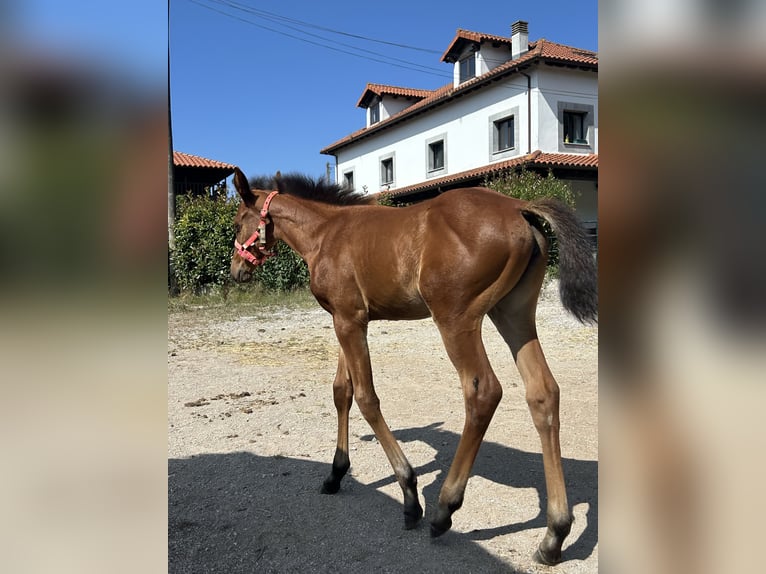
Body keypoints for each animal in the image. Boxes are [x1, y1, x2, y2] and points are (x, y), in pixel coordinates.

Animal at [229, 167, 597, 565]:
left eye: (236, 222)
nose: (235, 270)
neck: (326, 233)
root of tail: (518, 207)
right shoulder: (347, 319)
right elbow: (342, 391)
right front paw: (335, 475)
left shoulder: (348, 321)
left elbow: (367, 399)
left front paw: (408, 494)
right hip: (513, 313)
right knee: (543, 392)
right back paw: (554, 535)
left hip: (456, 318)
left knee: (483, 391)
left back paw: (444, 510)